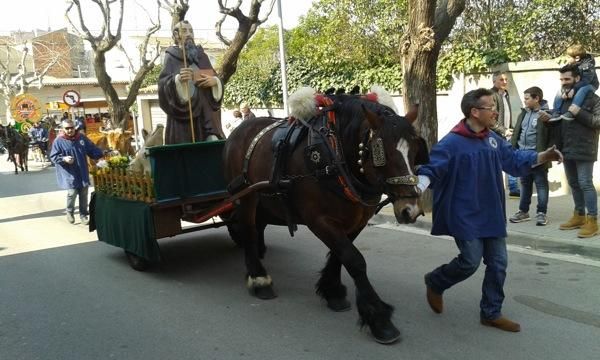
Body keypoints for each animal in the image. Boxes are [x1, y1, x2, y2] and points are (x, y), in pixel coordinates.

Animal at [223, 86, 428, 344]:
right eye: (382, 153)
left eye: (415, 151)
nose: (410, 209)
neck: (335, 156)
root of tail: (239, 130)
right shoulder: (318, 219)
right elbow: (354, 259)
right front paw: (379, 319)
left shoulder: (357, 220)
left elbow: (341, 255)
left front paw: (332, 291)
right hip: (246, 196)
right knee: (248, 229)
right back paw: (259, 278)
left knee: (256, 227)